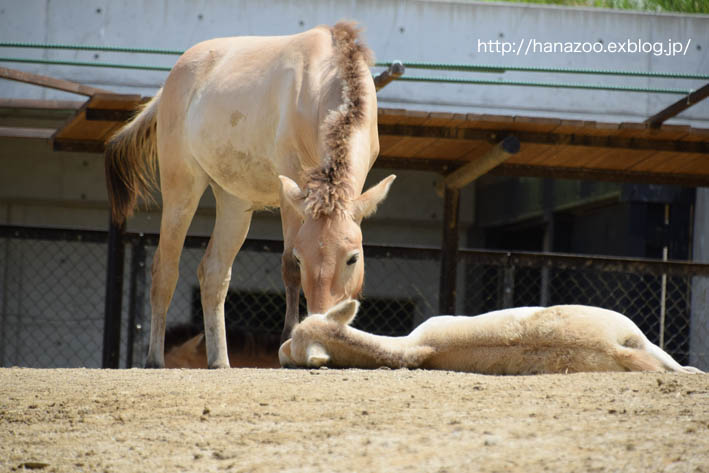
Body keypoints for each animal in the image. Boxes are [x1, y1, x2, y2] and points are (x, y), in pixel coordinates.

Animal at [106, 23, 396, 368]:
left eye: (353, 258)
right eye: (302, 258)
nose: (320, 322)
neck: (326, 76)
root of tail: (170, 83)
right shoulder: (291, 186)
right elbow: (287, 267)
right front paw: (287, 338)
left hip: (234, 203)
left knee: (214, 273)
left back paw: (220, 362)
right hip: (182, 189)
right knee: (165, 268)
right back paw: (154, 360)